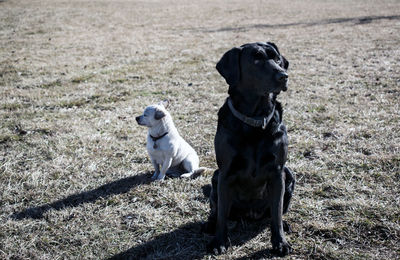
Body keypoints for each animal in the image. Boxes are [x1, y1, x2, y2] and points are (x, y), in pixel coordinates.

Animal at [205, 42, 296, 256]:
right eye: (256, 60)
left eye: (277, 59)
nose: (284, 76)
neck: (255, 119)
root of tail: (250, 215)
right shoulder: (226, 173)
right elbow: (221, 215)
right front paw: (219, 242)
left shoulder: (278, 172)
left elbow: (276, 214)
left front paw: (280, 242)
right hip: (215, 177)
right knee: (216, 211)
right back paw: (209, 226)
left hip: (289, 174)